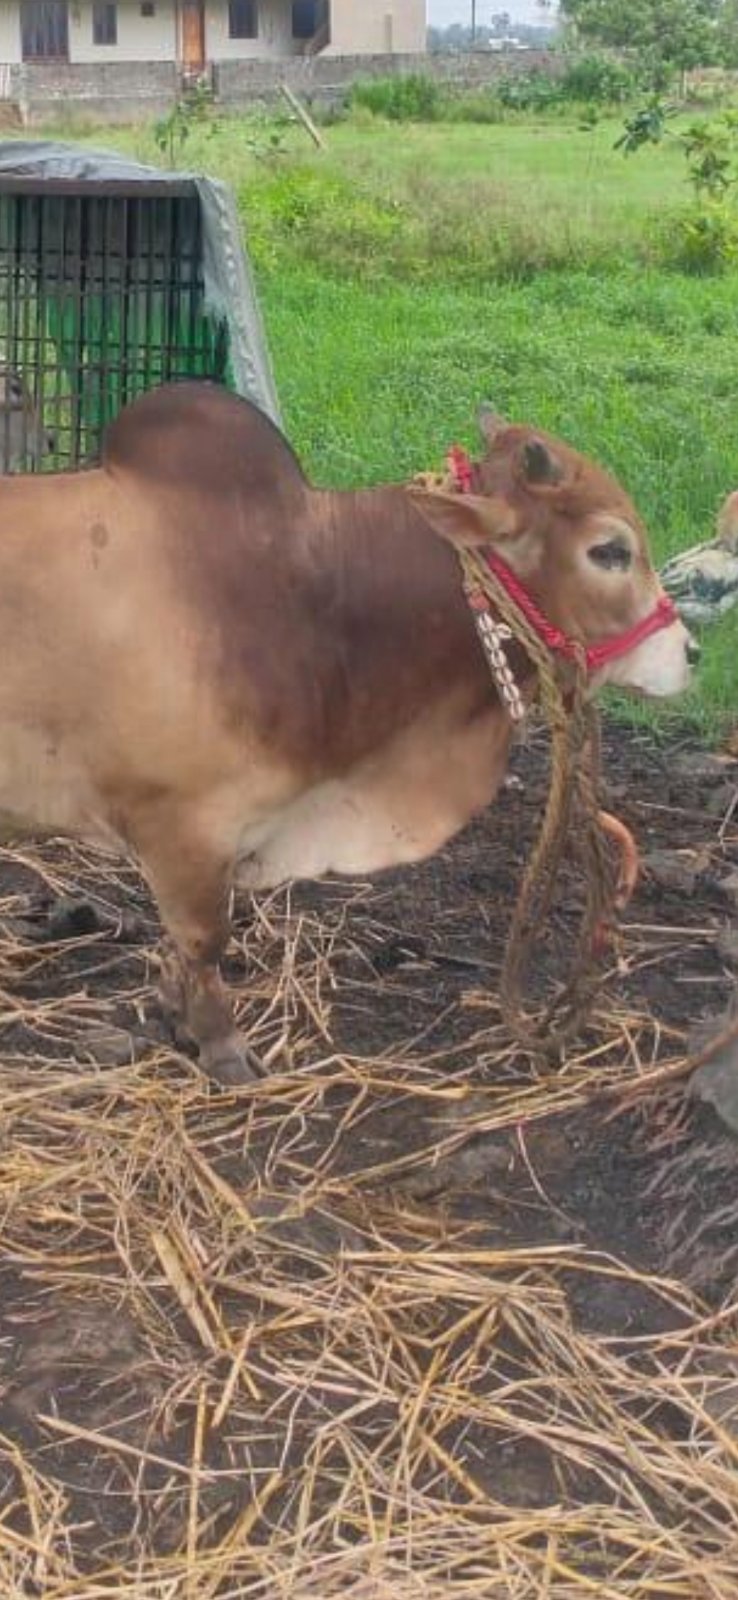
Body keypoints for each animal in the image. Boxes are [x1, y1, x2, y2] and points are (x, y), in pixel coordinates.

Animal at [0, 382, 697, 1084]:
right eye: (609, 550)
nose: (689, 652)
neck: (312, 600)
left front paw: (174, 1011)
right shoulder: (182, 824)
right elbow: (205, 940)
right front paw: (223, 1048)